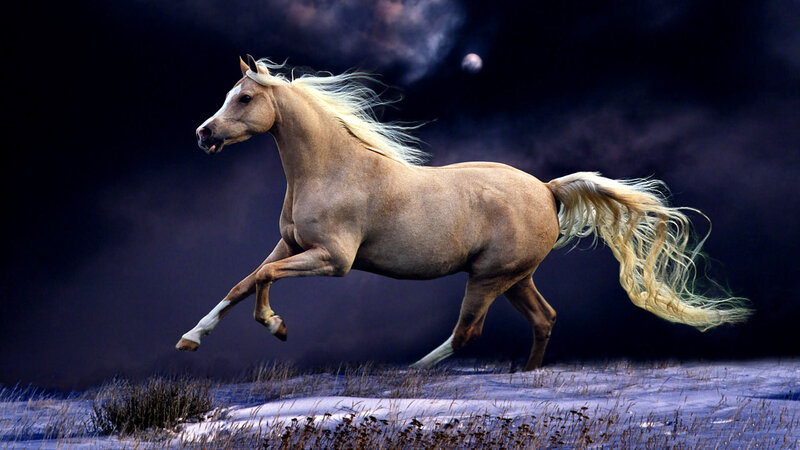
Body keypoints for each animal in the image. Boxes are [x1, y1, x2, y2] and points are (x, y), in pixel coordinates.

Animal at [175, 55, 750, 370]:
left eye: (244, 98)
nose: (203, 134)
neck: (331, 170)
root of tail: (548, 190)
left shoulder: (333, 259)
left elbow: (263, 279)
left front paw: (276, 326)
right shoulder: (291, 245)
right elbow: (244, 281)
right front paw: (190, 339)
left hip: (489, 277)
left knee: (467, 333)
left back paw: (406, 373)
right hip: (515, 277)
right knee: (544, 318)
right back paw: (525, 376)